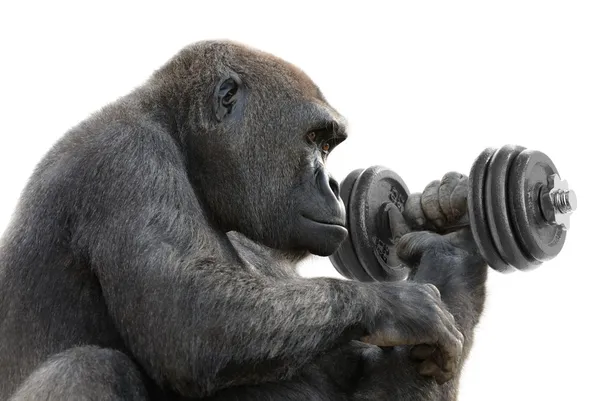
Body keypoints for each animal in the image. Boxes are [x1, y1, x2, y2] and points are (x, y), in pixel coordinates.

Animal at [0, 41, 488, 400]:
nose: (332, 183)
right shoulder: (127, 157)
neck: (181, 139)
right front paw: (397, 304)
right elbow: (189, 319)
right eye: (315, 139)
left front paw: (452, 257)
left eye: (328, 146)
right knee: (88, 367)